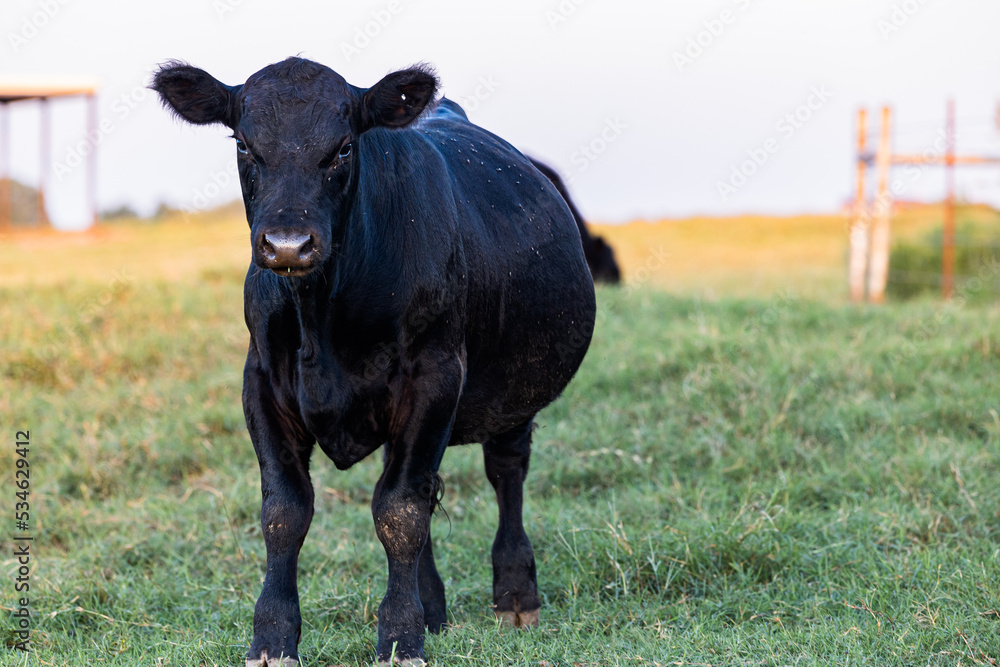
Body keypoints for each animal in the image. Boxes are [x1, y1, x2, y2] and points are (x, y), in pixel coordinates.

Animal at [152, 58, 596, 667]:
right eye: (244, 144)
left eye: (342, 148)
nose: (287, 244)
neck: (323, 317)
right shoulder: (261, 382)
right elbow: (285, 512)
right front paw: (272, 637)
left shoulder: (435, 378)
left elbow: (400, 512)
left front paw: (400, 636)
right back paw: (434, 608)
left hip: (515, 391)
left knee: (505, 473)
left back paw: (514, 592)